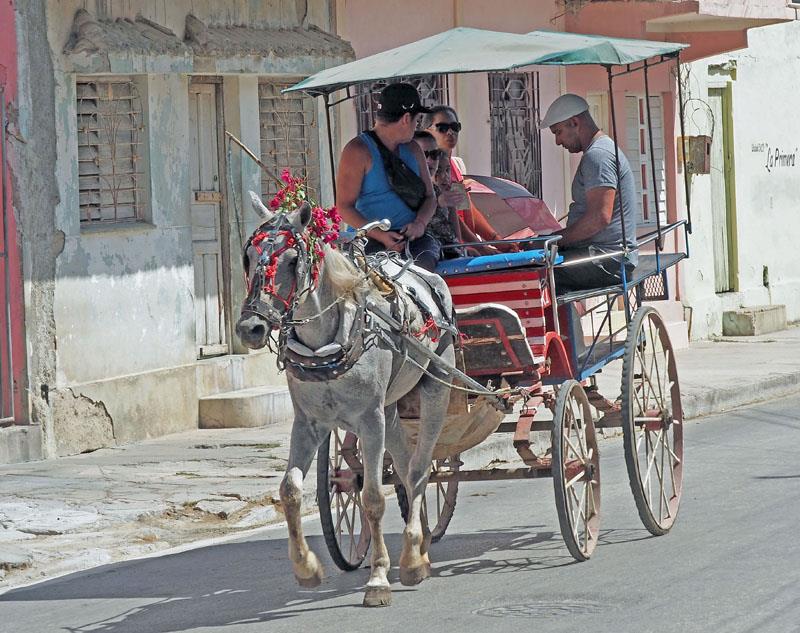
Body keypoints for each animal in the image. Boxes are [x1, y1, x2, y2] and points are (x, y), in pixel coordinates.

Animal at [234, 194, 454, 608]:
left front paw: (378, 579)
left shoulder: (369, 421)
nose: (250, 328)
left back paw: (411, 558)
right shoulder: (309, 423)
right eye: (248, 257)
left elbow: (372, 497)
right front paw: (307, 567)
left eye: (292, 260)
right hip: (390, 411)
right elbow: (289, 490)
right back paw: (418, 552)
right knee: (405, 469)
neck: (324, 345)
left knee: (420, 470)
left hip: (437, 387)